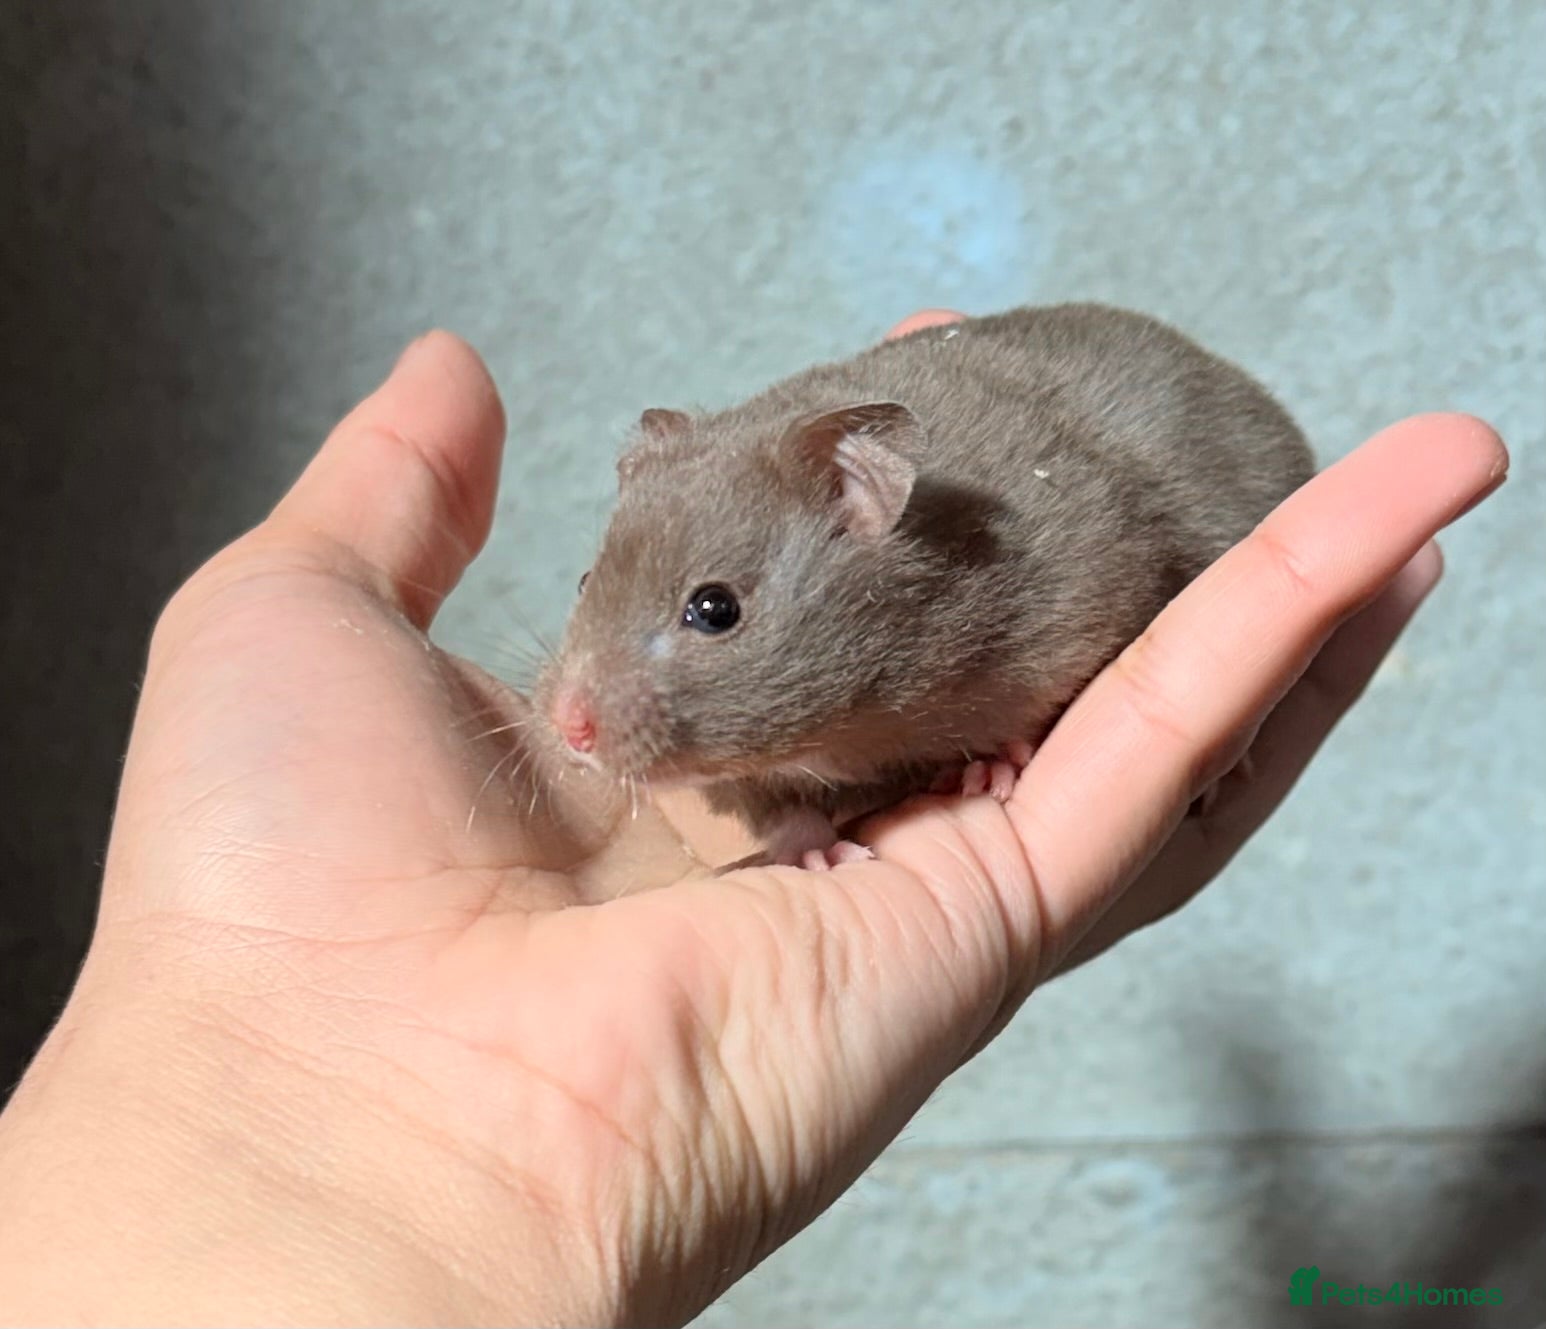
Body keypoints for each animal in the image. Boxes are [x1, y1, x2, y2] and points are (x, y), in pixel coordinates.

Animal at [535, 304, 1315, 869]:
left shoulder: (1091, 596)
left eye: (714, 608)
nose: (570, 730)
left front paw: (987, 775)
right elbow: (784, 813)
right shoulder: (746, 778)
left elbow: (1028, 709)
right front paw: (821, 856)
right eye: (584, 580)